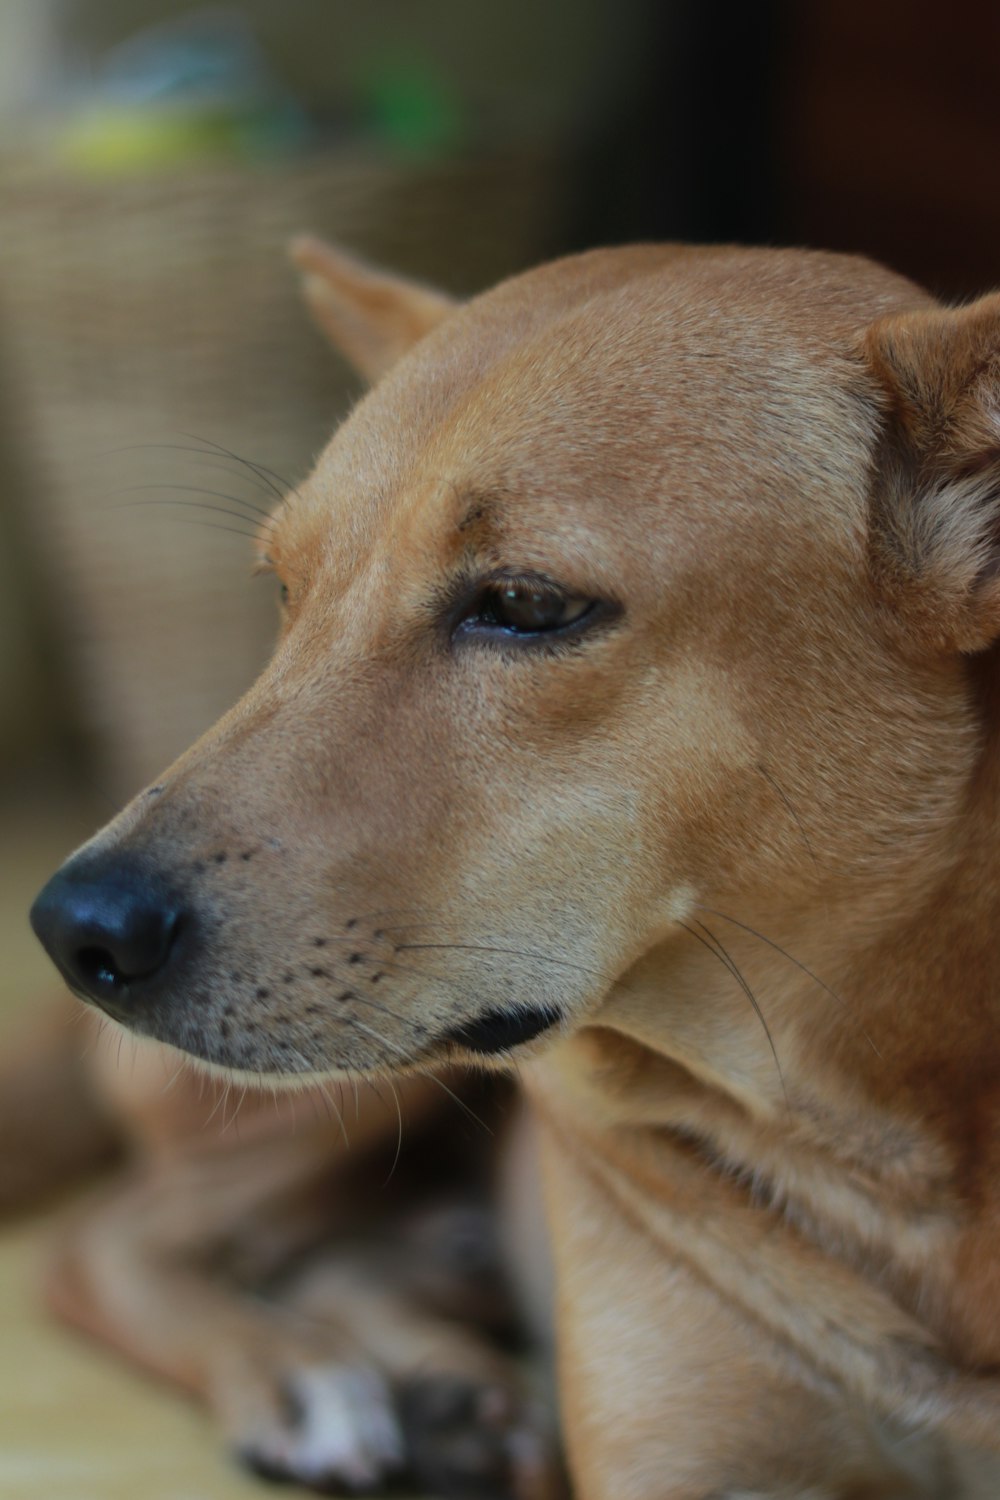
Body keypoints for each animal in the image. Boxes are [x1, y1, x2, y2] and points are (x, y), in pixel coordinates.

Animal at [25, 237, 1000, 1500]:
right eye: (286, 590)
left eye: (527, 605)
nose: (71, 929)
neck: (897, 1169)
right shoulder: (678, 1469)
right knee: (98, 1240)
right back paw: (298, 1371)